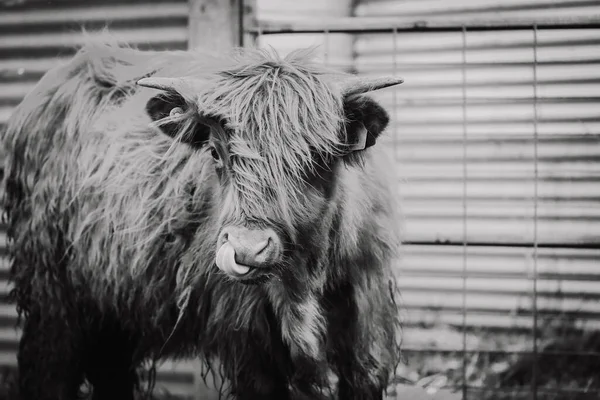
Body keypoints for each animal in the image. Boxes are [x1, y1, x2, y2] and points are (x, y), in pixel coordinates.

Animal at [1, 41, 404, 400]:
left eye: (317, 157)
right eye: (215, 153)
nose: (246, 249)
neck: (303, 280)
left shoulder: (367, 340)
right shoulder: (252, 352)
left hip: (112, 306)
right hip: (52, 298)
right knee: (50, 369)